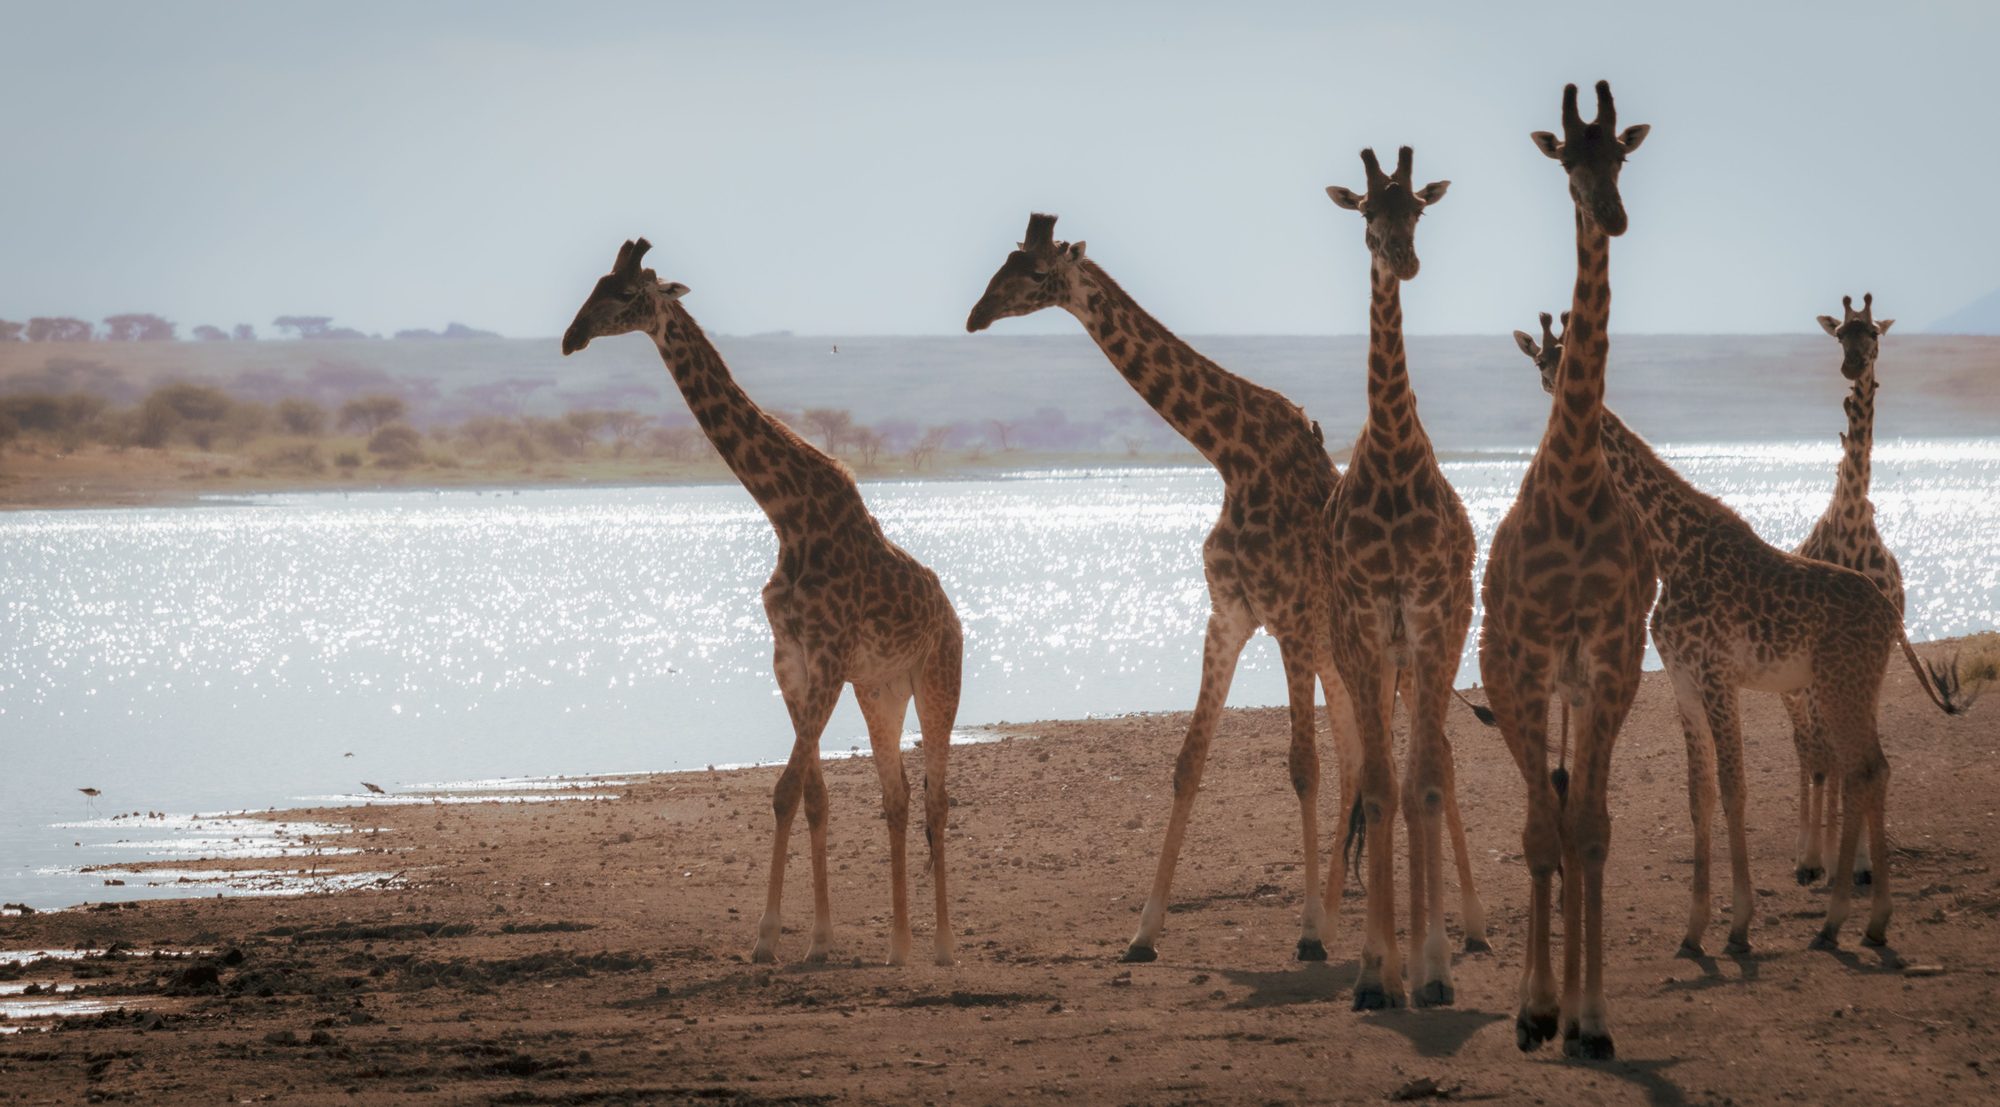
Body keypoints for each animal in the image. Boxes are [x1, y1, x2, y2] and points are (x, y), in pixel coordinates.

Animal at [563, 238, 964, 967]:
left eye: (627, 293)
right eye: (595, 285)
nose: (571, 337)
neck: (786, 512)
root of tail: (950, 612)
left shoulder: (828, 656)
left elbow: (784, 790)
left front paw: (767, 935)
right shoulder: (791, 658)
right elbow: (811, 796)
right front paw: (819, 939)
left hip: (938, 678)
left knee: (936, 799)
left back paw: (944, 947)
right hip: (882, 689)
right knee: (894, 797)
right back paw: (897, 947)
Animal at [1509, 308, 1971, 969]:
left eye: (1567, 351)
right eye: (1537, 359)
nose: (1554, 383)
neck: (1670, 547)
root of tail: (1892, 610)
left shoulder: (1717, 674)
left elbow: (1735, 790)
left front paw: (1740, 925)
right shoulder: (1681, 681)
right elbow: (1699, 795)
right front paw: (1694, 929)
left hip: (1842, 684)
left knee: (1866, 768)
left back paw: (1855, 918)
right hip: (1843, 687)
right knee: (1867, 769)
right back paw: (1856, 923)